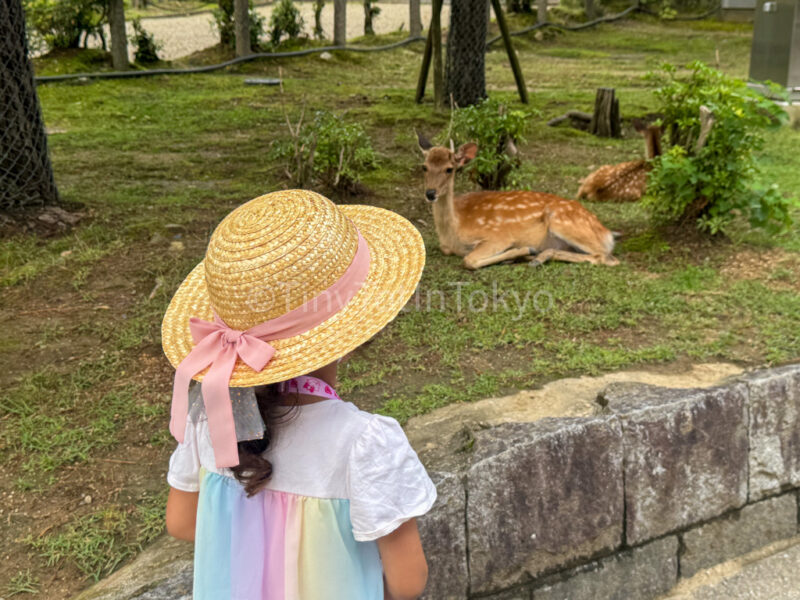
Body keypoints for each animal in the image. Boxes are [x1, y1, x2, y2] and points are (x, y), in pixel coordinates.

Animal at [417, 133, 619, 270]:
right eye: (424, 167)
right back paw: (536, 257)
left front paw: (522, 251)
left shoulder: (498, 235)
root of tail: (606, 233)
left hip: (564, 223)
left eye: (449, 169)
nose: (430, 193)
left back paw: (535, 256)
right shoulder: (446, 247)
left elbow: (469, 260)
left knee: (606, 257)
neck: (453, 232)